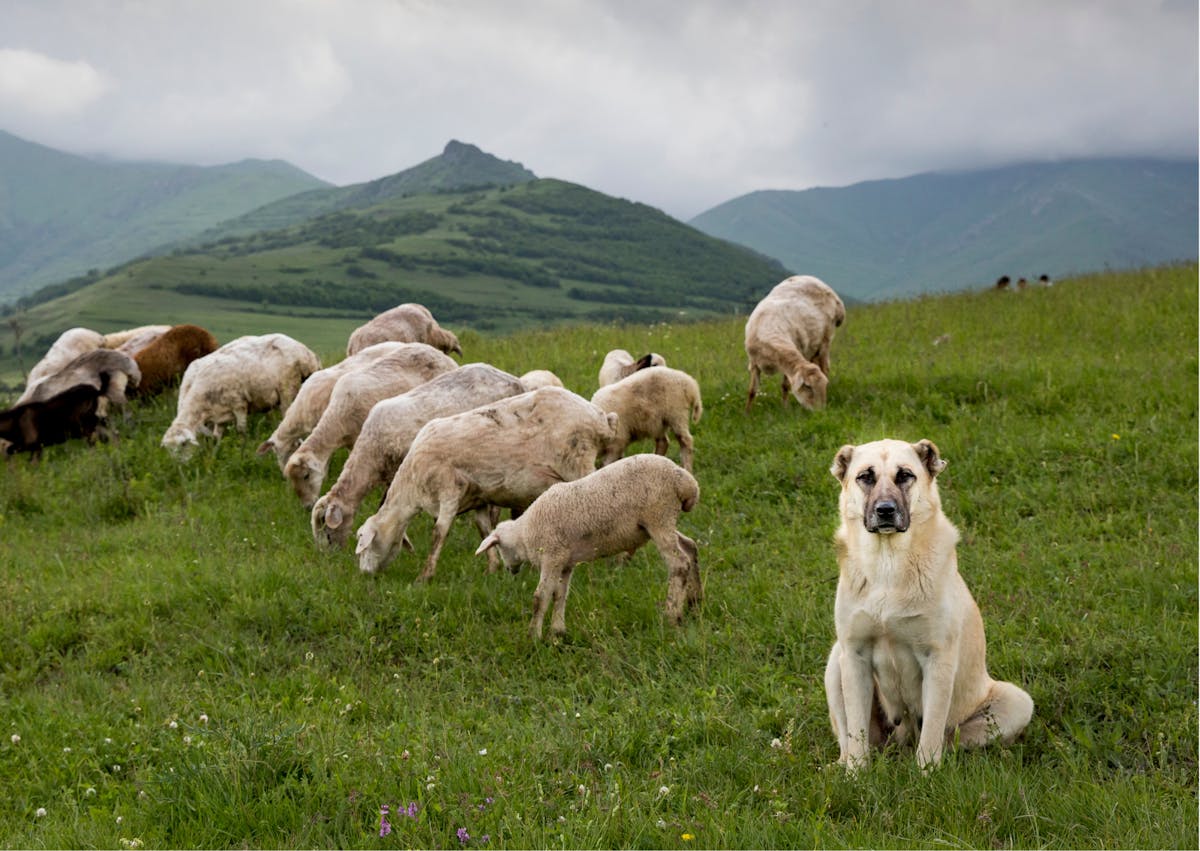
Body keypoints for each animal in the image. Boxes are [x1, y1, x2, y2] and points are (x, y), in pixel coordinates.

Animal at [161, 333, 321, 457]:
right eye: (168, 450)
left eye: (182, 445)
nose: (181, 470)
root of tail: (308, 354)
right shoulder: (219, 413)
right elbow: (216, 436)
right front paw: (215, 453)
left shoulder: (239, 403)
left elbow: (241, 430)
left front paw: (241, 451)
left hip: (288, 389)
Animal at [354, 386, 620, 581]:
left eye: (362, 543)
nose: (364, 574)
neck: (411, 487)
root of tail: (600, 418)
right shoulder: (478, 497)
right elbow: (484, 529)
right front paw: (491, 570)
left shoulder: (450, 489)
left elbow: (439, 533)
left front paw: (425, 576)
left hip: (578, 460)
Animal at [475, 453, 701, 640]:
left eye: (501, 548)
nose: (510, 570)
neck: (524, 532)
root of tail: (685, 481)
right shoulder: (565, 563)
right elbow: (560, 594)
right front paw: (558, 632)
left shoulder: (552, 556)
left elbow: (541, 597)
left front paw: (533, 637)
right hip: (657, 523)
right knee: (690, 548)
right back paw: (694, 603)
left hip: (658, 515)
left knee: (679, 564)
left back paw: (672, 615)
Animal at [743, 274, 845, 412]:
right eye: (808, 387)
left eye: (823, 386)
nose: (820, 412)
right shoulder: (754, 363)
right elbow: (752, 391)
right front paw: (747, 413)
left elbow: (785, 386)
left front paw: (785, 409)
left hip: (826, 339)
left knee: (825, 368)